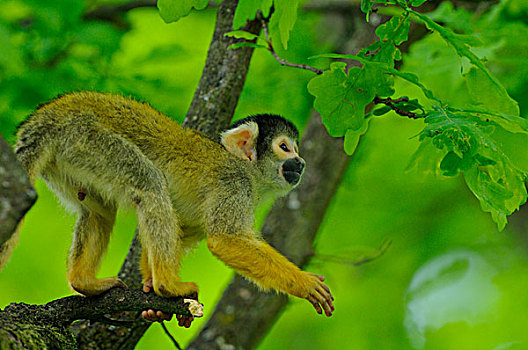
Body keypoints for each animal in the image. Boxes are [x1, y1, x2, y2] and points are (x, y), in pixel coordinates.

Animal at [2, 91, 334, 322]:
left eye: (295, 149)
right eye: (285, 147)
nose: (301, 163)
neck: (248, 170)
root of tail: (47, 116)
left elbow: (182, 232)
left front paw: (151, 297)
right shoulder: (233, 184)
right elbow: (224, 239)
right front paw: (305, 284)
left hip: (70, 159)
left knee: (99, 209)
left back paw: (85, 283)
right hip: (87, 138)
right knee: (149, 184)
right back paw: (168, 286)